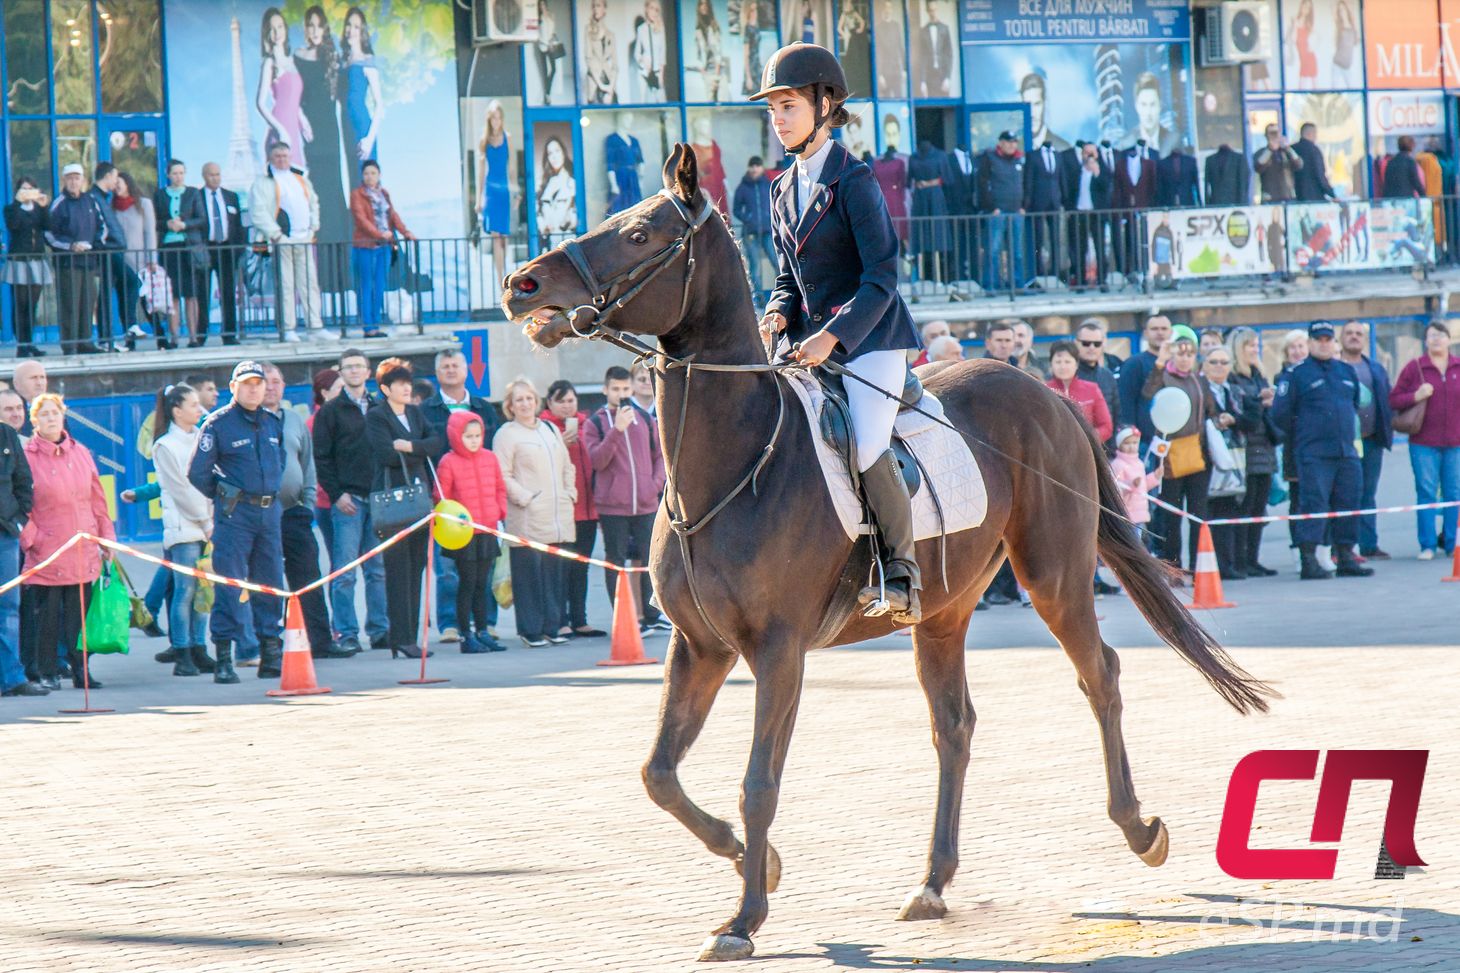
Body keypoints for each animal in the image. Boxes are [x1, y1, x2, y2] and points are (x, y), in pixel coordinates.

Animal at [499, 146, 1267, 964]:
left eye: (641, 234)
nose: (522, 285)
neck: (737, 461)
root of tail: (1046, 392)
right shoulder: (699, 645)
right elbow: (659, 774)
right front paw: (758, 864)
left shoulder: (777, 650)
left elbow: (758, 783)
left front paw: (744, 917)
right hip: (944, 610)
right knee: (954, 725)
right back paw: (932, 882)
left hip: (1054, 577)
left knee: (1101, 677)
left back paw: (1140, 829)